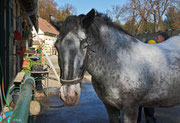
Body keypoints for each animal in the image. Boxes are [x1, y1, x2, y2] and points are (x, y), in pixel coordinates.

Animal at [50, 9, 180, 122]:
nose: (68, 96)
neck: (118, 62)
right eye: (56, 45)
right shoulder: (110, 107)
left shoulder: (131, 109)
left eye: (85, 46)